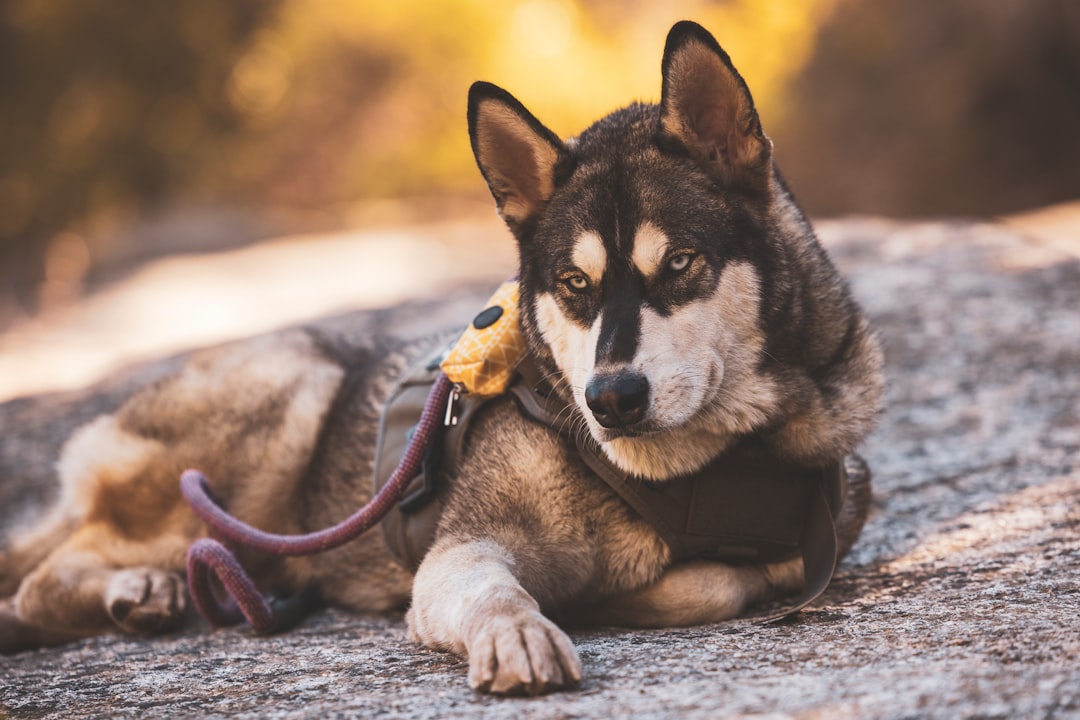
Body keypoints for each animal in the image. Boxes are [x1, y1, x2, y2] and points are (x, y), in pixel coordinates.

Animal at [0, 21, 876, 699]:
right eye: (574, 285)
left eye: (683, 264)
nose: (612, 398)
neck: (687, 471)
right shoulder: (459, 552)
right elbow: (498, 590)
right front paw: (524, 628)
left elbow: (729, 577)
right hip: (283, 409)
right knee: (49, 576)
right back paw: (132, 587)